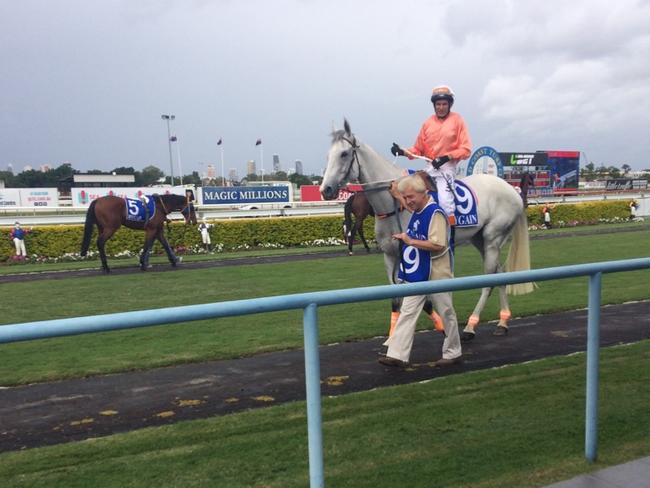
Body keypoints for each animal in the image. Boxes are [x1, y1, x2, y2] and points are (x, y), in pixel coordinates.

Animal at [318, 121, 532, 342]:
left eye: (344, 154)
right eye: (328, 155)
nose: (326, 189)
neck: (395, 202)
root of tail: (511, 189)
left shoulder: (415, 252)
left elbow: (422, 296)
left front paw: (443, 327)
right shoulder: (390, 254)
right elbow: (395, 297)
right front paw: (392, 338)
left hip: (492, 237)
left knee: (488, 281)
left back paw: (470, 327)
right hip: (480, 239)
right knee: (500, 274)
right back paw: (503, 322)